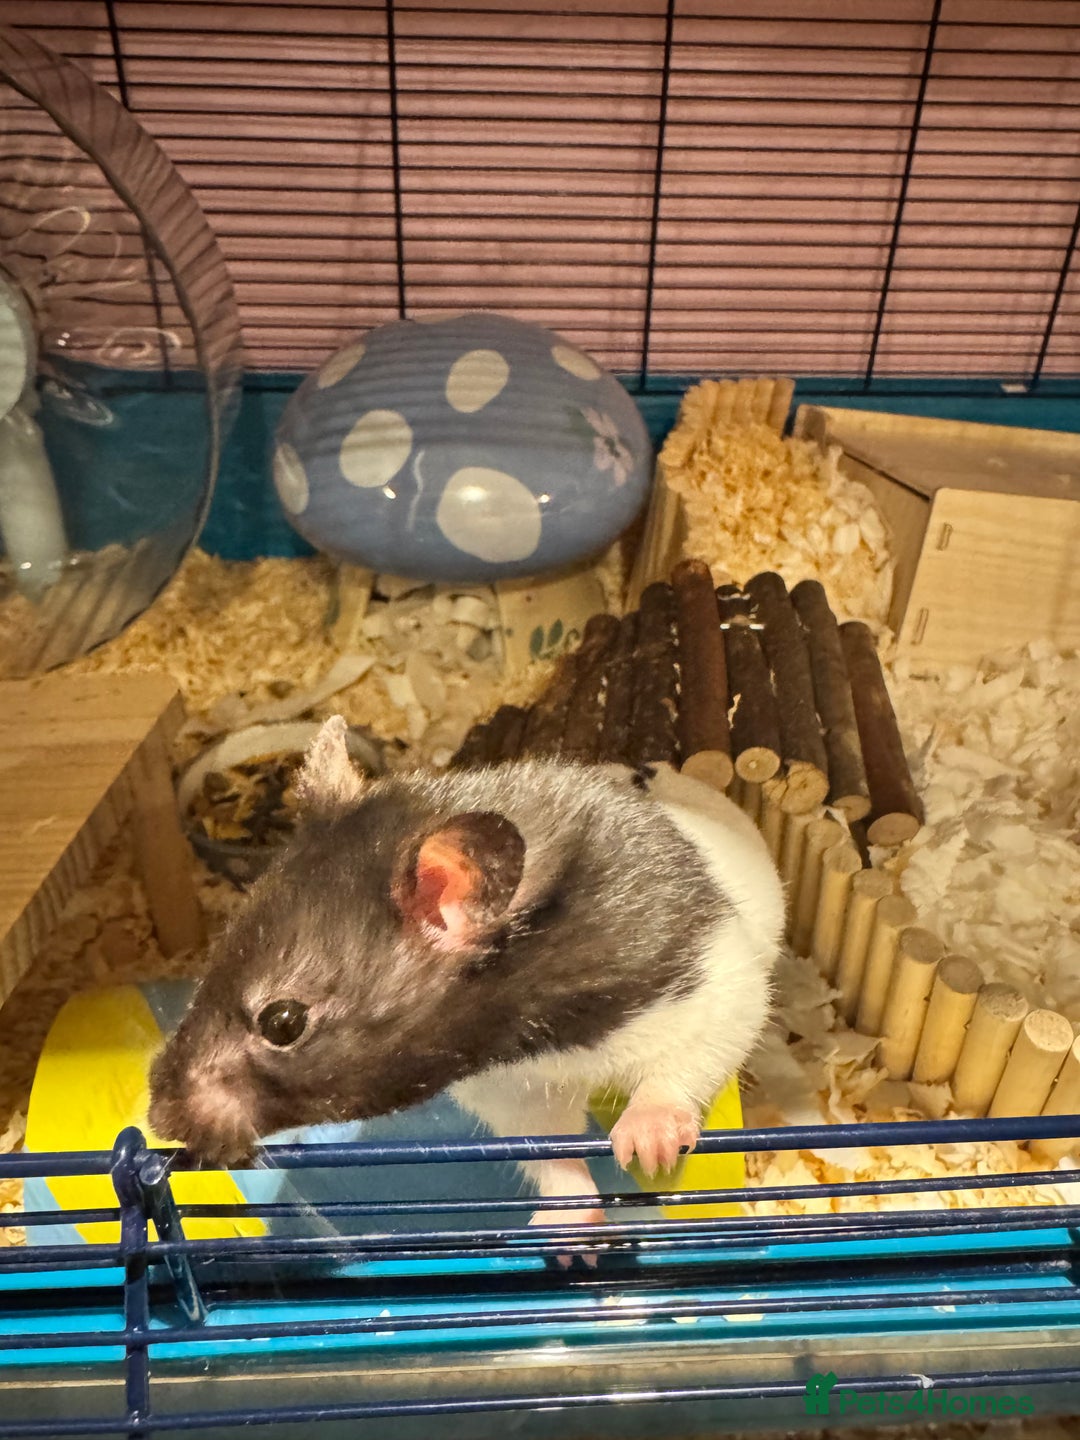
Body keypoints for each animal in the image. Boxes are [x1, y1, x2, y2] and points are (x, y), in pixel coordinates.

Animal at [149, 715, 785, 1234]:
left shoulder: (712, 983)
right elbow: (549, 1151)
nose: (159, 1121)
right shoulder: (511, 1092)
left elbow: (680, 1069)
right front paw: (567, 1238)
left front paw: (645, 1152)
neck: (523, 1030)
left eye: (282, 1022)